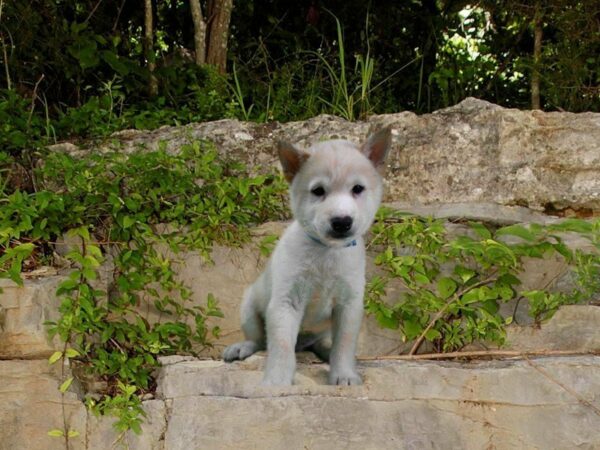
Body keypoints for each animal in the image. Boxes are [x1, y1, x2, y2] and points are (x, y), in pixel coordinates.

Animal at [223, 128, 392, 384]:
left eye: (358, 189)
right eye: (318, 191)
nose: (341, 222)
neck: (326, 252)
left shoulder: (349, 305)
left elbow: (344, 346)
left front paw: (344, 374)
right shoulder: (286, 302)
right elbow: (281, 347)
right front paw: (277, 381)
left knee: (320, 344)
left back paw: (325, 351)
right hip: (249, 307)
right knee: (260, 341)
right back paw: (242, 347)